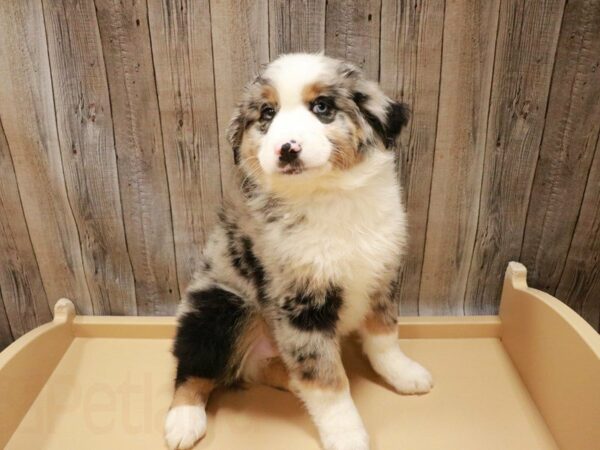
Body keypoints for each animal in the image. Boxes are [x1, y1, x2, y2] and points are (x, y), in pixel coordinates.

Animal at [165, 53, 432, 450]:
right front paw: (346, 435)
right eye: (267, 113)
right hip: (218, 307)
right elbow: (327, 380)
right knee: (193, 368)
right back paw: (183, 420)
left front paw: (403, 373)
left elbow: (384, 338)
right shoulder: (299, 306)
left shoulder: (381, 276)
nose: (287, 148)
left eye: (322, 107)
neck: (328, 196)